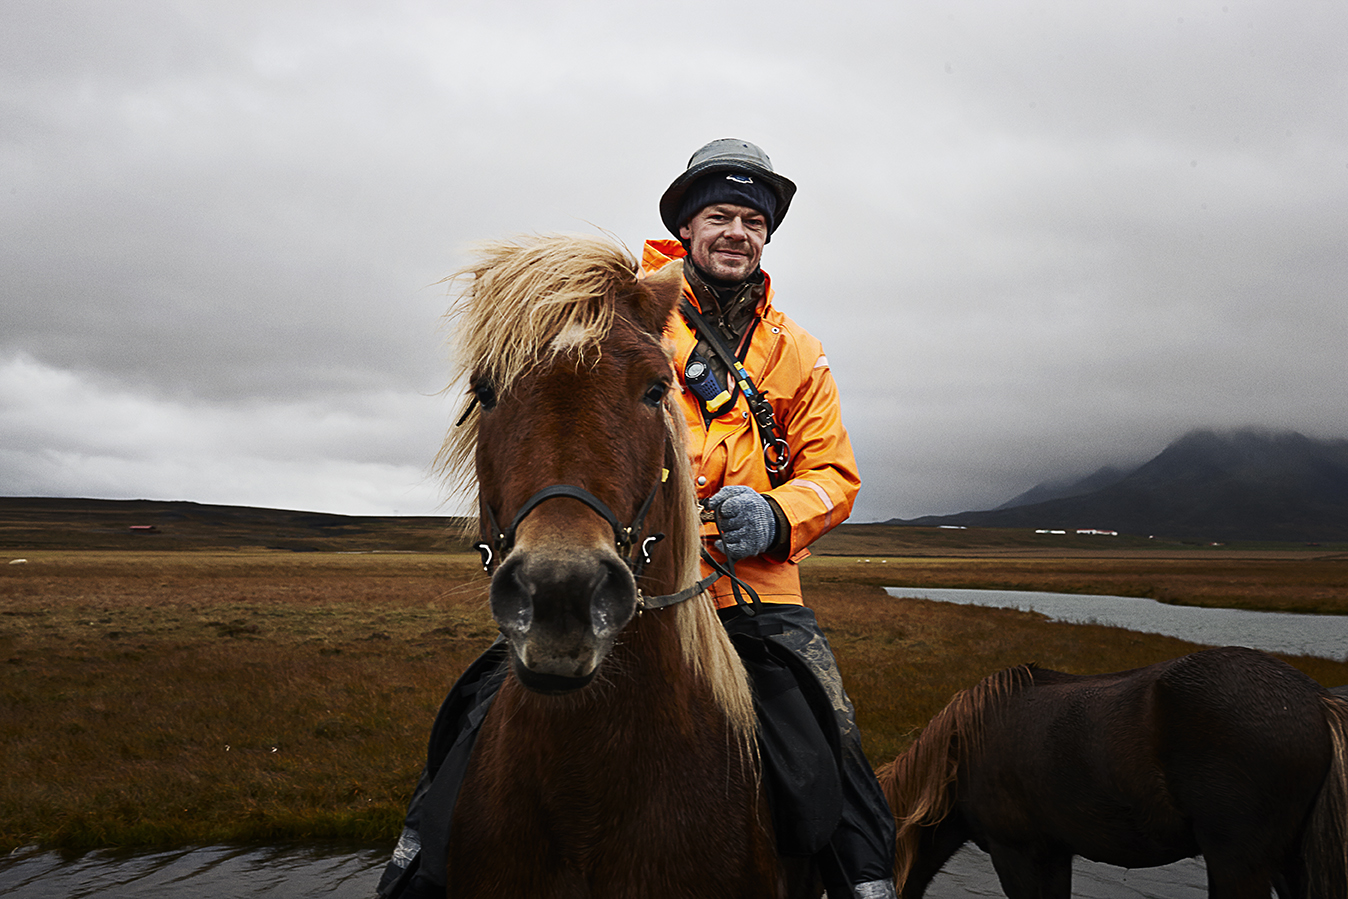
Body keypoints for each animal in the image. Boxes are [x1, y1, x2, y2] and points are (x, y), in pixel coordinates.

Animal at [873, 646, 1348, 899]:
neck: (960, 754)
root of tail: (1315, 700)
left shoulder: (1016, 852)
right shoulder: (1052, 852)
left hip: (1239, 863)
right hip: (1287, 861)